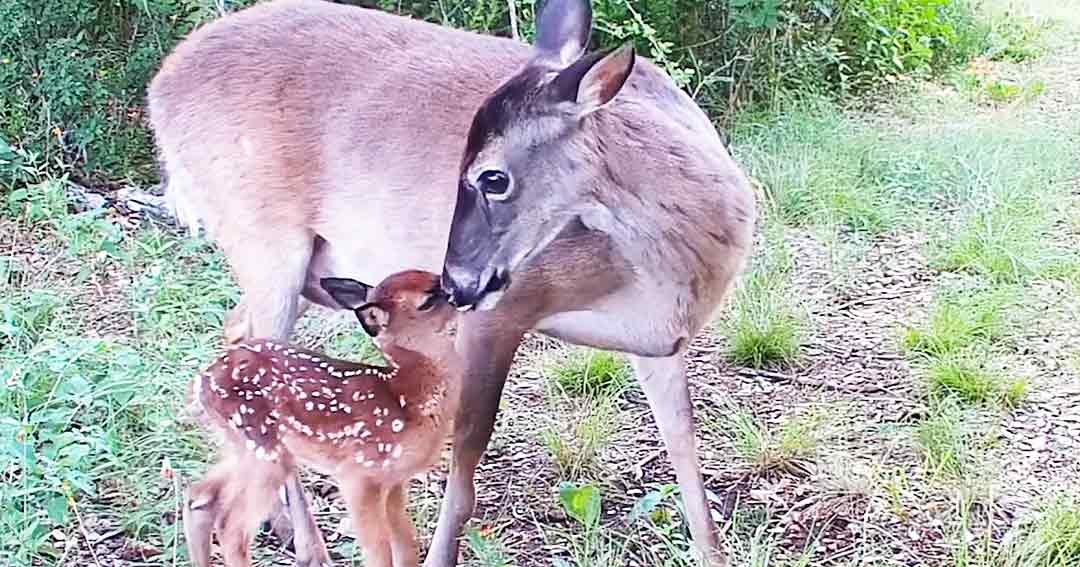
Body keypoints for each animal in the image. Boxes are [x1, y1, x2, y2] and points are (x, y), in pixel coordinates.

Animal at [183, 270, 461, 567]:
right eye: (428, 300)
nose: (460, 292)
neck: (409, 399)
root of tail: (202, 383)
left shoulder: (394, 481)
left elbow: (407, 546)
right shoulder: (358, 474)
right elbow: (379, 552)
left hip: (242, 447)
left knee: (200, 497)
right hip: (263, 448)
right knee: (231, 526)